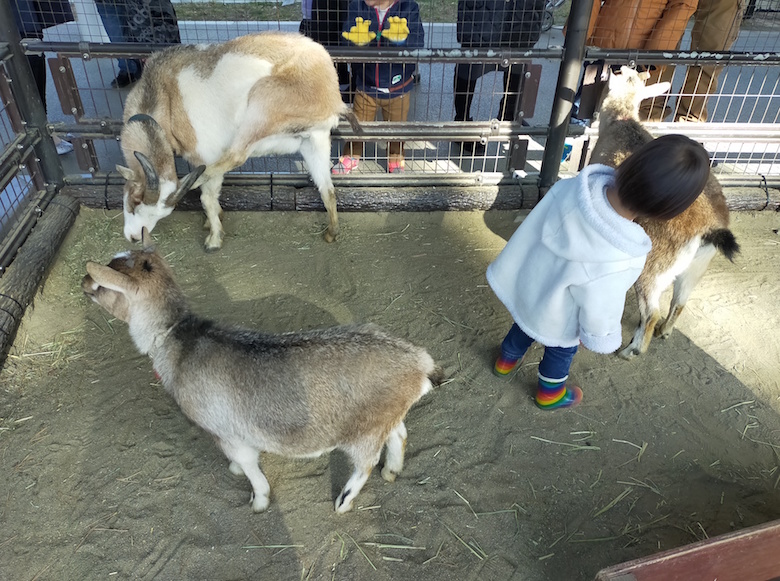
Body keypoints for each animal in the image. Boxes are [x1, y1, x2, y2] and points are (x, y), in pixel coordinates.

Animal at [116, 31, 360, 249]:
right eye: (133, 201)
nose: (135, 238)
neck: (166, 96)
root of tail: (332, 94)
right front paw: (212, 221)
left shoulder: (207, 152)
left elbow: (208, 196)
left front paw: (214, 238)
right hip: (314, 140)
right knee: (327, 189)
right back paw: (331, 233)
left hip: (261, 104)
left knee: (236, 155)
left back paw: (193, 183)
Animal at [588, 67, 740, 358]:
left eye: (622, 73)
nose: (614, 67)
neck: (622, 121)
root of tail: (710, 228)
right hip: (696, 267)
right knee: (680, 301)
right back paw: (665, 331)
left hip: (654, 264)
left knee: (651, 311)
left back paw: (632, 350)